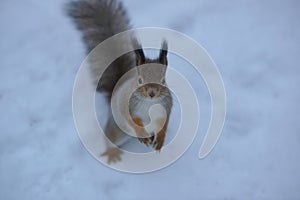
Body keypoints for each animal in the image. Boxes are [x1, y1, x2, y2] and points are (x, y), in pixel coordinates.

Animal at [66, 0, 172, 163]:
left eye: (163, 80)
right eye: (140, 80)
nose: (152, 93)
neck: (149, 104)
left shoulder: (165, 108)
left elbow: (164, 124)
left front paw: (160, 140)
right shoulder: (126, 105)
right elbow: (132, 119)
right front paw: (142, 135)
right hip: (117, 130)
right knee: (108, 137)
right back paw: (112, 152)